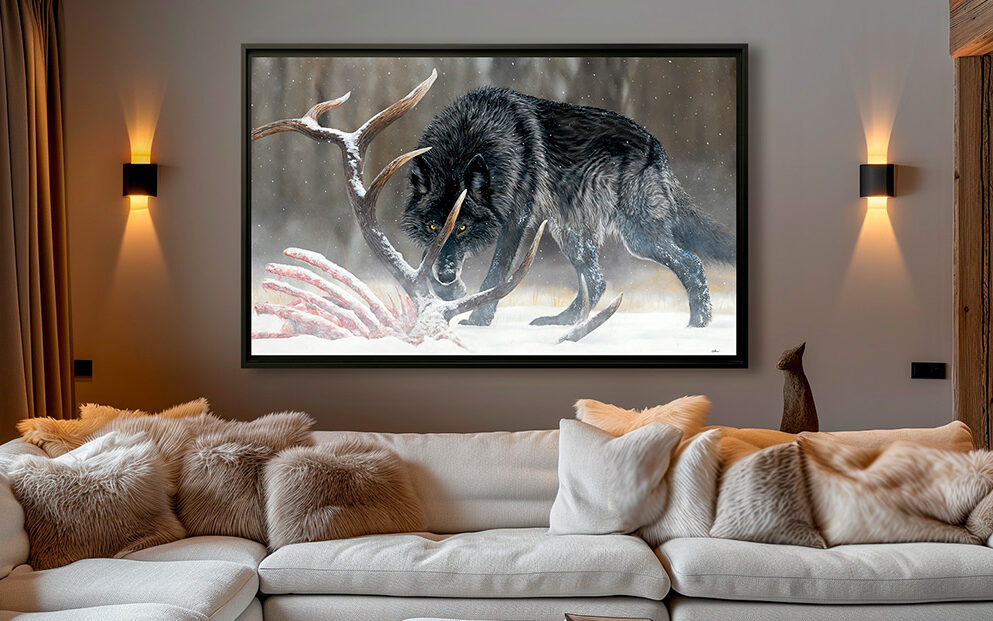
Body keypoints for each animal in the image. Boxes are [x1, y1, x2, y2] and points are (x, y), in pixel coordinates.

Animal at [401, 87, 735, 328]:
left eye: (463, 226)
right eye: (433, 226)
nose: (447, 274)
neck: (471, 134)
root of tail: (657, 145)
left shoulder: (516, 220)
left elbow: (496, 274)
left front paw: (478, 320)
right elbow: (426, 261)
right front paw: (453, 292)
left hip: (638, 238)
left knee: (693, 265)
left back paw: (696, 327)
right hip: (571, 234)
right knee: (597, 282)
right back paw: (563, 321)